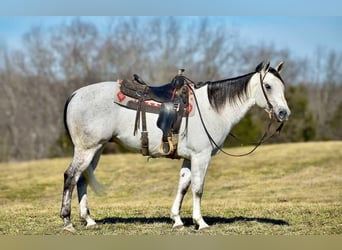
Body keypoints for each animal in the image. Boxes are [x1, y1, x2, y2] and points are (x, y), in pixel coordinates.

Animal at [60, 61, 290, 232]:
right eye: (268, 86)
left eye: (282, 87)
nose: (284, 113)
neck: (212, 109)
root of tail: (74, 95)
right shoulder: (201, 156)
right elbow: (198, 188)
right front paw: (201, 223)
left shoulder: (189, 158)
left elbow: (183, 187)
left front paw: (177, 220)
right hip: (87, 149)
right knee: (71, 176)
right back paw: (68, 221)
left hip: (96, 150)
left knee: (82, 179)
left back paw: (89, 220)